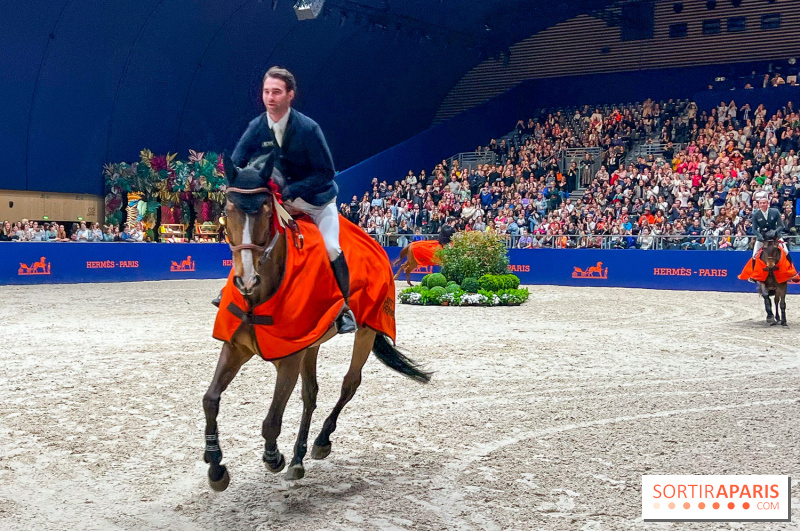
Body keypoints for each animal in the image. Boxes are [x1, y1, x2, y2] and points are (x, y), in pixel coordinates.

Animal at [203, 156, 434, 492]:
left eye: (267, 211)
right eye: (226, 211)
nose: (246, 281)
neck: (260, 295)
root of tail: (375, 243)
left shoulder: (289, 359)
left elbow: (271, 420)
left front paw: (273, 457)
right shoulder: (237, 347)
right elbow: (210, 400)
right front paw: (215, 465)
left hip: (367, 330)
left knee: (349, 384)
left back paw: (320, 441)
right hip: (311, 344)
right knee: (310, 394)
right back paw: (299, 458)